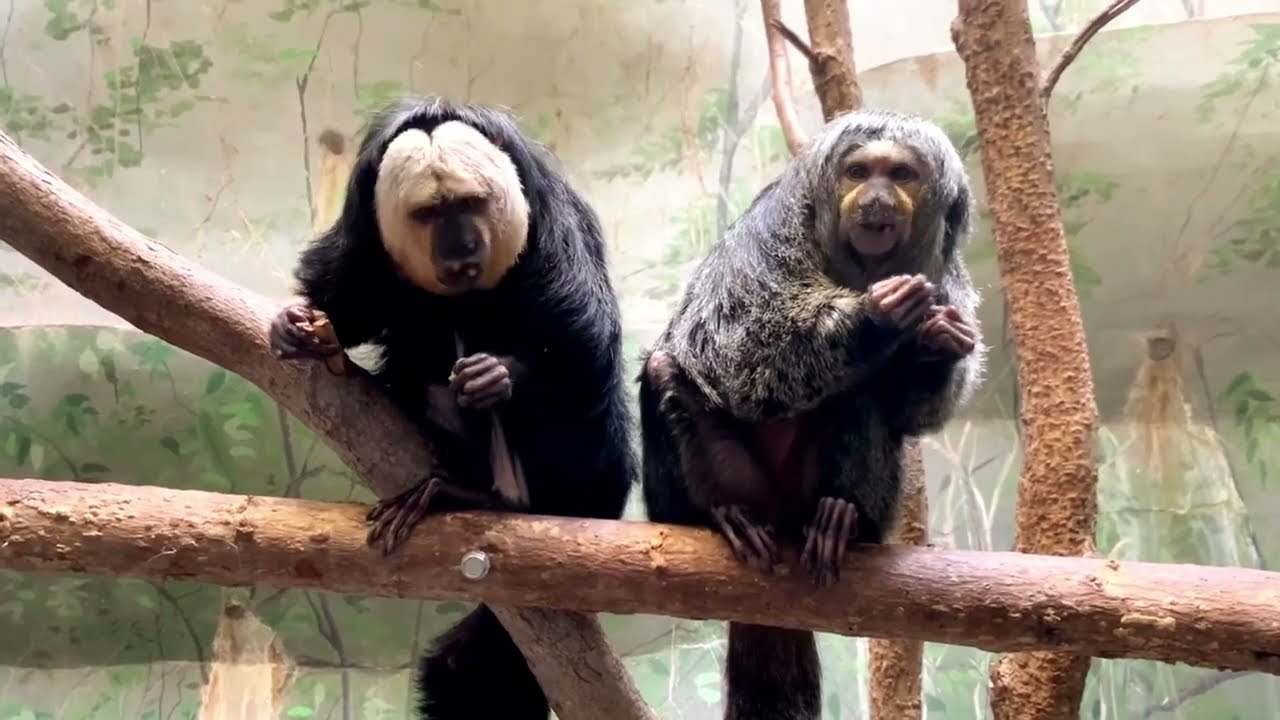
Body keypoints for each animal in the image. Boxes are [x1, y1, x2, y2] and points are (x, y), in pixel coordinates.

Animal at [267, 96, 637, 720]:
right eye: (429, 213)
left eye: (469, 205)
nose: (461, 248)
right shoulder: (364, 228)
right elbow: (347, 295)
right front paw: (299, 325)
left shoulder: (555, 228)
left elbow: (583, 341)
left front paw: (496, 377)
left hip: (593, 489)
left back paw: (486, 498)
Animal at [638, 109, 985, 720]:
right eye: (858, 172)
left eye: (900, 174)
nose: (876, 199)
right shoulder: (766, 236)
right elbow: (736, 352)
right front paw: (878, 314)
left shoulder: (949, 281)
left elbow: (914, 414)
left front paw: (938, 344)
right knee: (664, 368)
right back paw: (721, 514)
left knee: (859, 392)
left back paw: (841, 516)